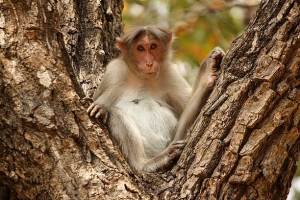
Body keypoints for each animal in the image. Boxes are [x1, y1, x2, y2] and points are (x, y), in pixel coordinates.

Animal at [85, 25, 224, 172]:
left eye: (153, 46)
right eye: (140, 48)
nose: (149, 63)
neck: (144, 79)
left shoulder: (170, 74)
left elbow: (186, 107)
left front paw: (208, 72)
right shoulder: (115, 72)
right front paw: (100, 107)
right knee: (115, 112)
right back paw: (147, 163)